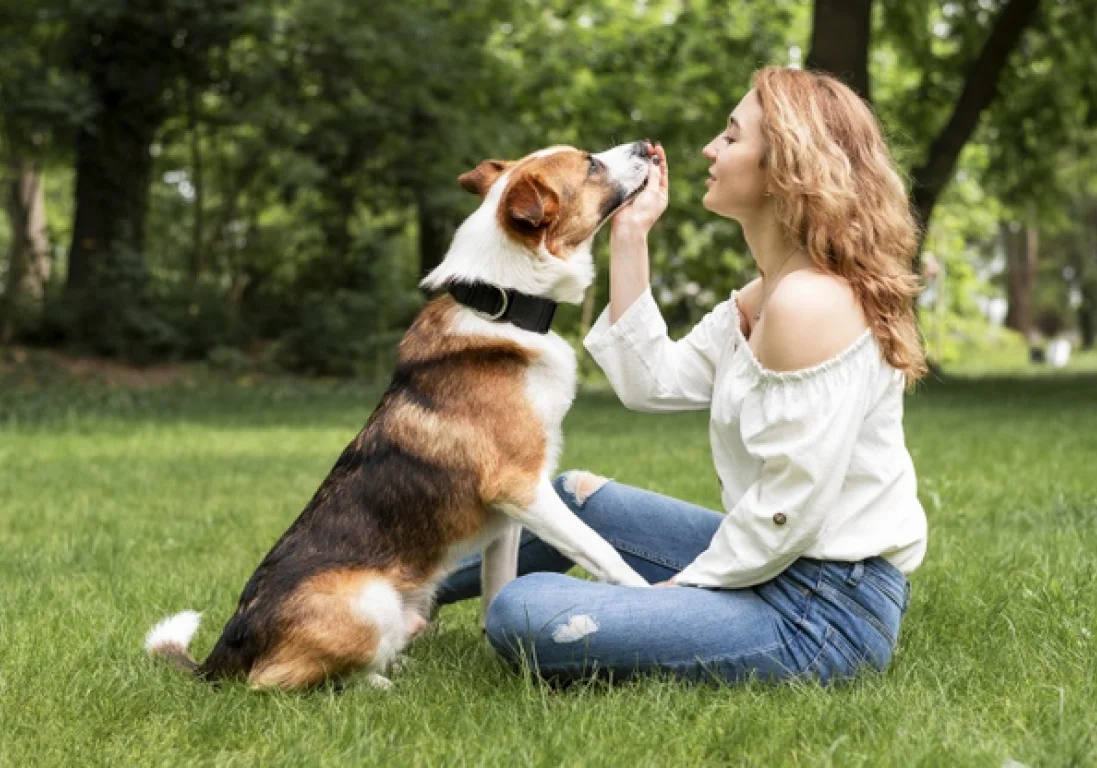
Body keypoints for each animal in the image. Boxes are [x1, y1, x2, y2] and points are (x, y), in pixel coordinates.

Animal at [146, 139, 653, 689]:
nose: (646, 146)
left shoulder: (511, 515)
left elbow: (499, 591)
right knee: (274, 682)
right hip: (368, 601)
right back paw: (380, 686)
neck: (502, 305)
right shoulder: (521, 487)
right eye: (590, 164)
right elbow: (602, 551)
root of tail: (225, 652)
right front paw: (658, 595)